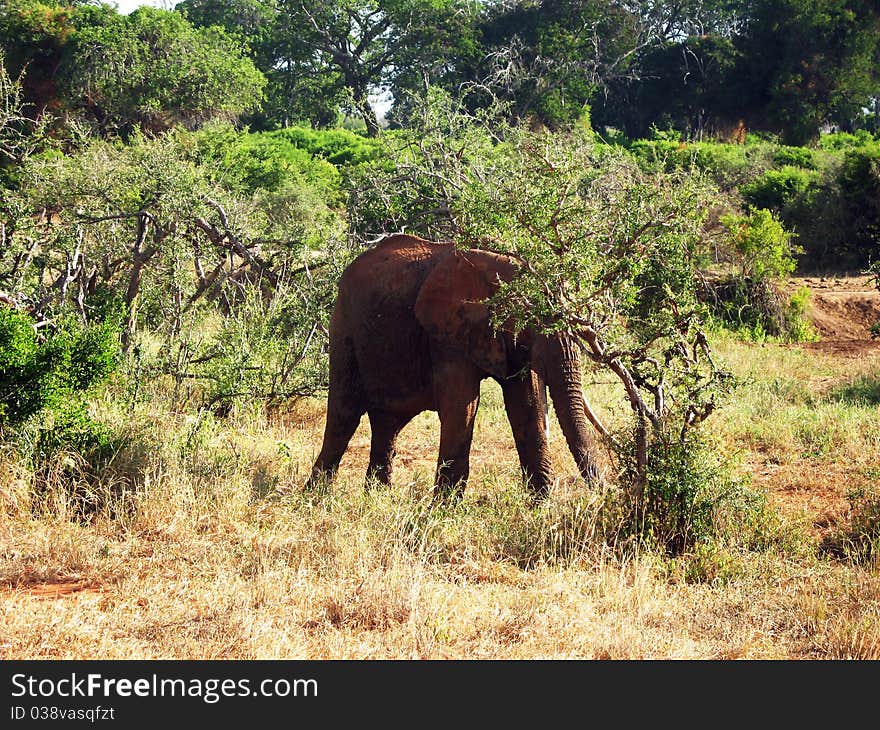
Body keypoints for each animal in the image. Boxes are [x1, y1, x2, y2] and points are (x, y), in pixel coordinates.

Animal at [306, 233, 600, 500]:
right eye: (530, 317)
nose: (600, 493)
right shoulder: (446, 333)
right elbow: (461, 406)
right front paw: (441, 510)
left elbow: (527, 406)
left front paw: (541, 505)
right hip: (344, 328)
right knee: (344, 415)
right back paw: (315, 497)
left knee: (387, 422)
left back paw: (377, 499)